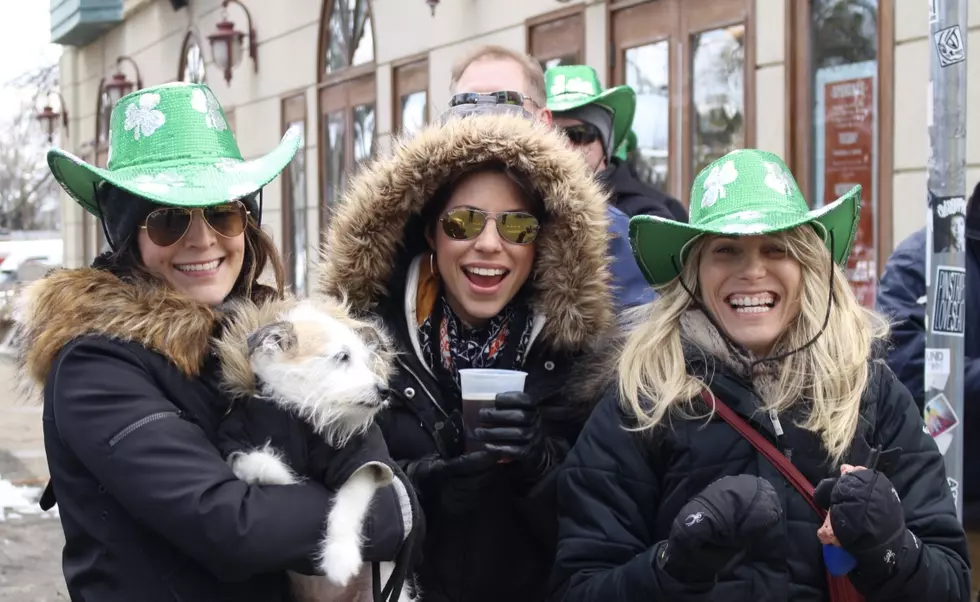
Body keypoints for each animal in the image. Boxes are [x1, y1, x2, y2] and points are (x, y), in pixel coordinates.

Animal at [216, 298, 420, 600]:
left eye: (366, 360)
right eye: (343, 357)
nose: (384, 391)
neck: (301, 414)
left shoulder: (361, 460)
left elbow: (347, 504)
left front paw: (340, 558)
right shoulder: (236, 437)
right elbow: (248, 460)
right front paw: (279, 472)